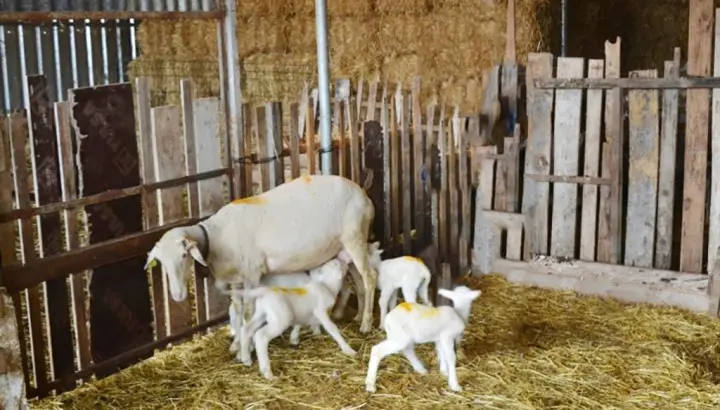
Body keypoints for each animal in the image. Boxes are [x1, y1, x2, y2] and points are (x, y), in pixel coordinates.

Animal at [226, 260, 356, 378]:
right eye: (337, 264)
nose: (346, 262)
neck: (328, 286)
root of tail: (264, 292)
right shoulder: (320, 311)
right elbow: (332, 328)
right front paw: (348, 349)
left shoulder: (301, 312)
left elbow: (299, 323)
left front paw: (296, 337)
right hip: (281, 318)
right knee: (261, 336)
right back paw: (267, 372)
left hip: (260, 314)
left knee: (246, 329)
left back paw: (246, 358)